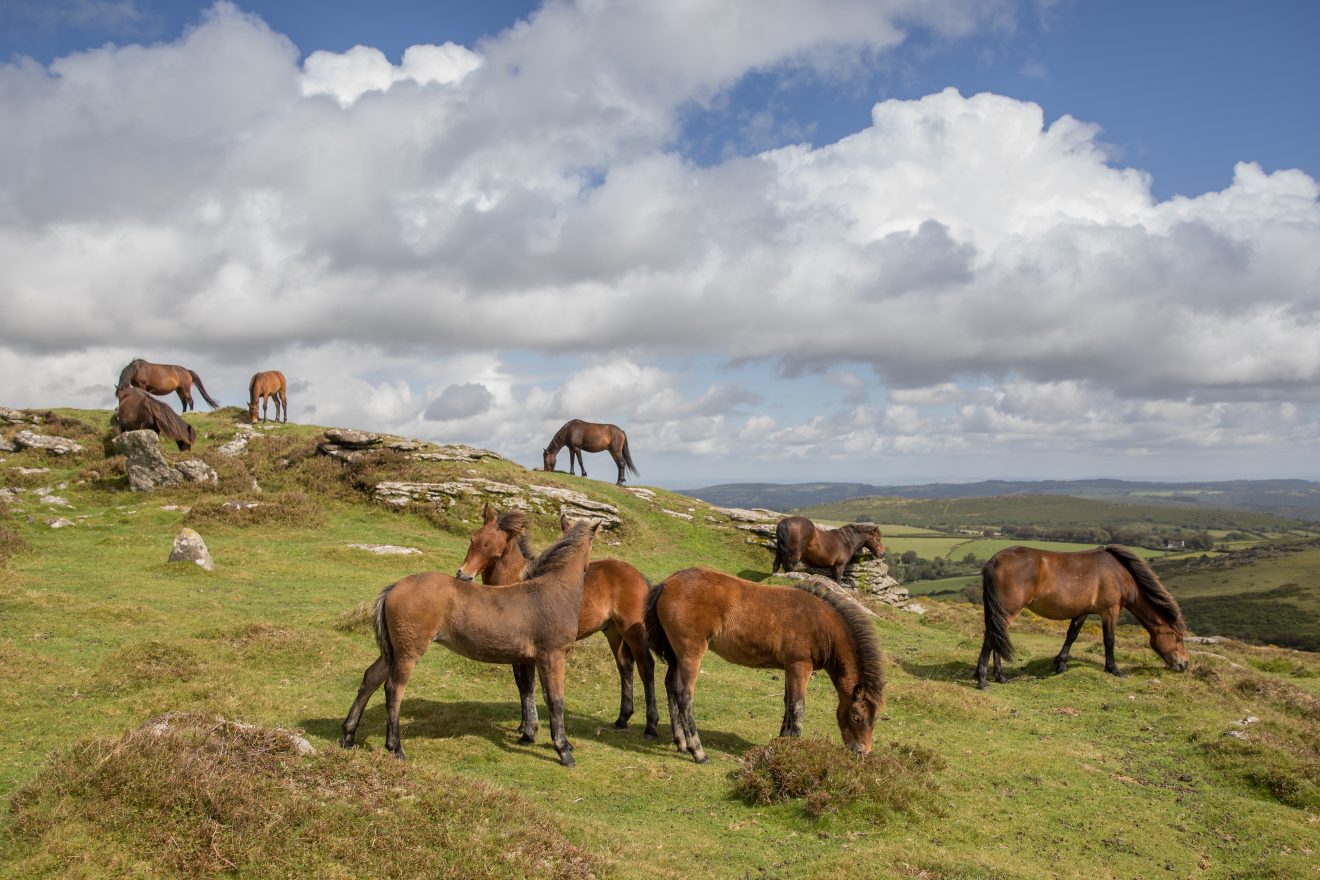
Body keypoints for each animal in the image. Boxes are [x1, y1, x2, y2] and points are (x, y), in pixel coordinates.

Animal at [339, 519, 600, 766]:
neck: (554, 591)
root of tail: (393, 587)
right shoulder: (552, 655)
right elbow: (555, 701)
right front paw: (564, 750)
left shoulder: (528, 659)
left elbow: (528, 692)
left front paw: (529, 735)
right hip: (408, 651)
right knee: (394, 689)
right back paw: (396, 748)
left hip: (392, 650)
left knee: (371, 678)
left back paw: (348, 736)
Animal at [456, 504, 658, 741]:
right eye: (473, 539)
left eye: (495, 549)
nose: (464, 575)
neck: (516, 581)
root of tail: (640, 576)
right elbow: (521, 684)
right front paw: (523, 726)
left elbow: (528, 685)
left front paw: (529, 730)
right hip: (613, 631)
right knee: (625, 666)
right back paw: (622, 719)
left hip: (632, 631)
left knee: (647, 667)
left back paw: (651, 726)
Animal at [645, 567, 885, 763]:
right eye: (856, 716)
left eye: (875, 719)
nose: (863, 752)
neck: (821, 624)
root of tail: (667, 583)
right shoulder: (800, 666)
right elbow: (798, 707)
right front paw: (794, 749)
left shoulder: (790, 668)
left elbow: (788, 704)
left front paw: (782, 743)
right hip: (691, 652)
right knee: (684, 695)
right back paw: (698, 752)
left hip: (676, 654)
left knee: (671, 687)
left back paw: (681, 743)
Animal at [975, 545, 1190, 689]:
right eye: (1177, 638)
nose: (1185, 664)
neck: (1120, 574)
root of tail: (995, 560)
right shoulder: (1110, 611)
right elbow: (1109, 640)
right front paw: (1114, 669)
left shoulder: (1083, 611)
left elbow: (1072, 635)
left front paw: (1061, 664)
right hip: (1007, 611)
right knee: (992, 637)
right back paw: (983, 680)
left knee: (995, 636)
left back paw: (1000, 677)